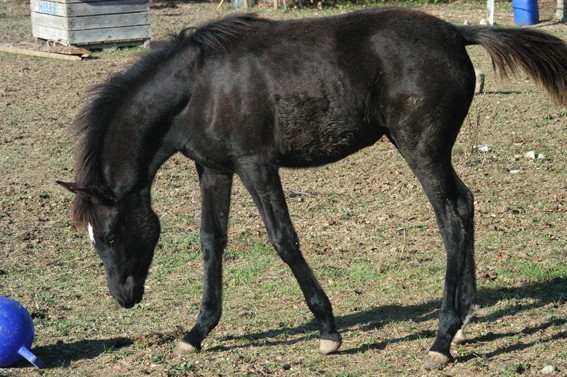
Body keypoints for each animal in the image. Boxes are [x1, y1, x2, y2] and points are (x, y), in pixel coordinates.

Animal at [58, 8, 567, 366]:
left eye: (108, 235)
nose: (123, 297)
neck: (199, 88)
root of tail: (455, 32)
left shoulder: (256, 165)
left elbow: (283, 239)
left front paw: (328, 330)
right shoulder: (214, 169)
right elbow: (210, 242)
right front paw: (196, 333)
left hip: (421, 149)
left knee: (452, 217)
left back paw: (442, 339)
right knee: (466, 205)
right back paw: (466, 319)